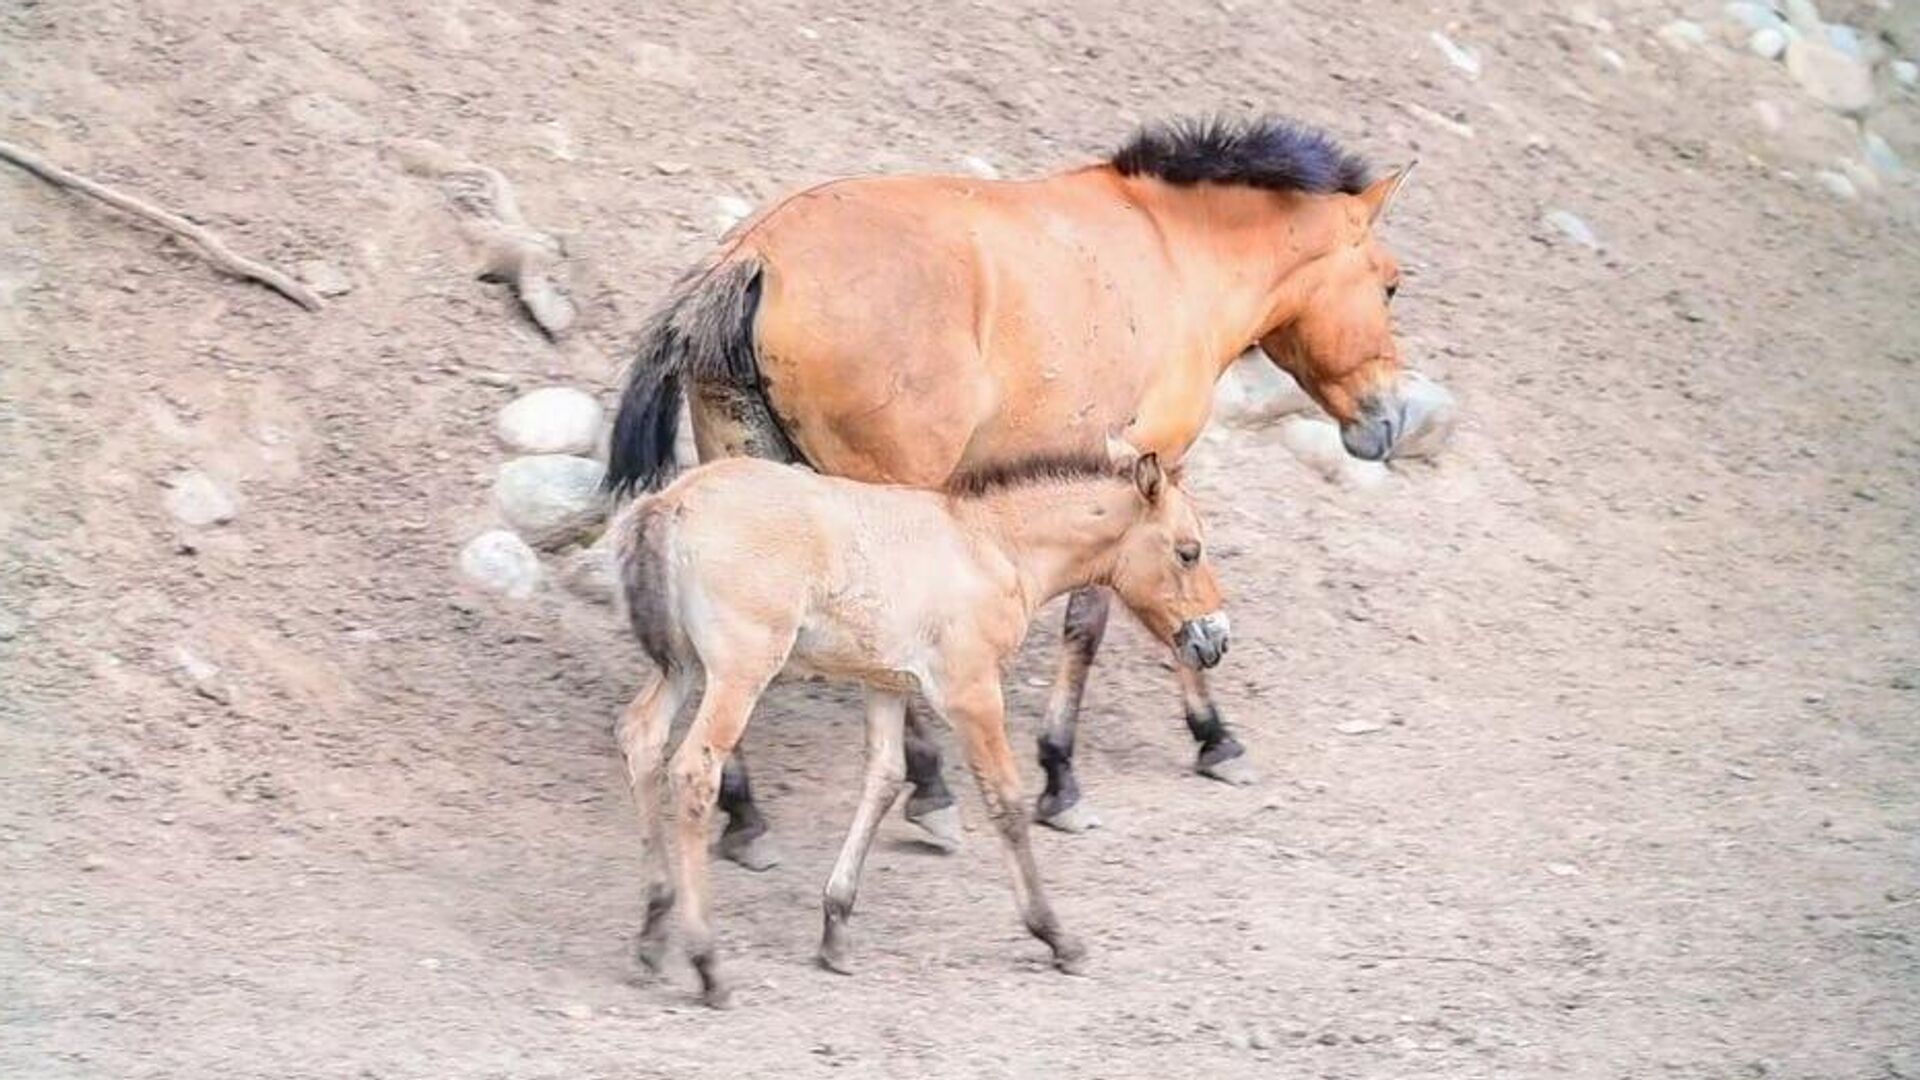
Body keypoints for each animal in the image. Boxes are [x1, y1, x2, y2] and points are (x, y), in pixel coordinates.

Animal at [603, 114, 1437, 857]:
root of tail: (757, 253)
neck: (1174, 254)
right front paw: (1108, 765)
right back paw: (931, 794)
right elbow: (1110, 618)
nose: (1392, 419)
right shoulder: (1150, 468)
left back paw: (746, 816)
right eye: (1392, 286)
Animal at [611, 441, 1227, 1007]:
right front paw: (1056, 936)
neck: (993, 545)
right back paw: (707, 962)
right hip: (739, 671)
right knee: (693, 770)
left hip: (683, 666)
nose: (1216, 640)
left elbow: (883, 780)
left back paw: (654, 928)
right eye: (1188, 551)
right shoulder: (971, 691)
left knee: (640, 737)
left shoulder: (886, 684)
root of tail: (672, 501)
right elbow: (1006, 801)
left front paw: (835, 930)